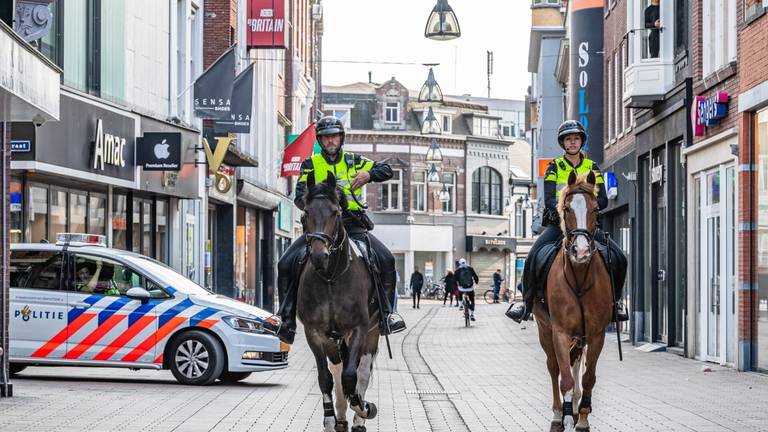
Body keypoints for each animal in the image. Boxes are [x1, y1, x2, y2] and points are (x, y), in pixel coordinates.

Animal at [298, 174, 380, 432]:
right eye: (305, 212)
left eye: (336, 212)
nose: (319, 256)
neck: (331, 278)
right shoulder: (314, 332)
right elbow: (326, 377)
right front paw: (330, 418)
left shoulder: (358, 329)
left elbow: (352, 376)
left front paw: (363, 406)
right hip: (333, 339)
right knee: (336, 369)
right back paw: (342, 416)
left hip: (372, 333)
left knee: (361, 371)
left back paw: (358, 417)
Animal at [536, 170, 616, 430]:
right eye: (567, 208)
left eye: (596, 208)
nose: (580, 251)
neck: (579, 279)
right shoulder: (560, 332)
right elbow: (566, 380)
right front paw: (567, 416)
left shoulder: (596, 333)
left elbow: (588, 377)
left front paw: (582, 417)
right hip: (544, 329)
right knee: (554, 368)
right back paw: (558, 413)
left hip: (580, 338)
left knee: (575, 365)